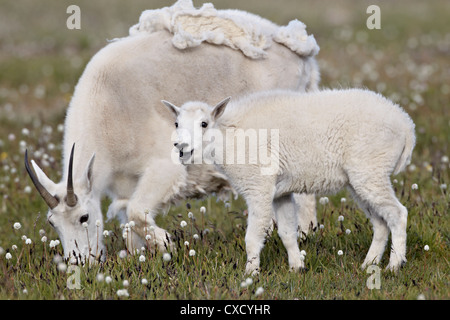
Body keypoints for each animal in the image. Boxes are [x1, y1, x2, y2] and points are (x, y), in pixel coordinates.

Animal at [23, 0, 320, 262]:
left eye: (84, 217)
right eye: (52, 223)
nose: (80, 263)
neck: (109, 110)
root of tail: (303, 56)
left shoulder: (164, 167)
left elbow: (136, 212)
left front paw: (167, 244)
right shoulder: (125, 183)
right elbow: (128, 221)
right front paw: (140, 257)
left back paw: (304, 233)